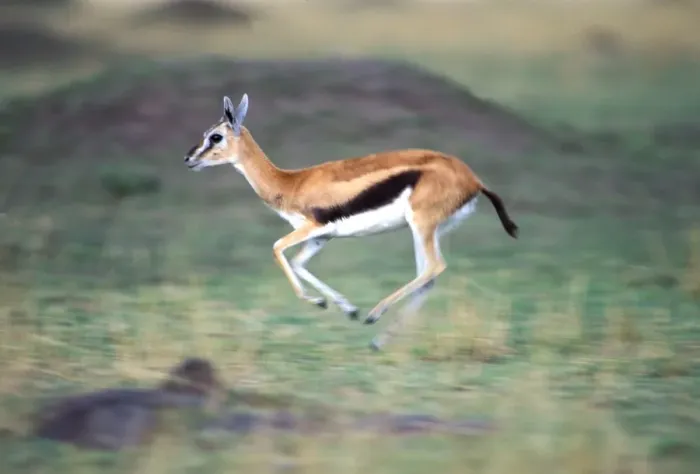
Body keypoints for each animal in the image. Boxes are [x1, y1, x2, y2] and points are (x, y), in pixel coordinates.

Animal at [184, 94, 519, 350]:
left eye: (215, 136)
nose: (188, 159)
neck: (291, 183)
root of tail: (474, 179)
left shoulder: (312, 228)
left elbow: (278, 249)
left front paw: (325, 303)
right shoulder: (322, 236)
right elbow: (299, 263)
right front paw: (343, 308)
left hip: (421, 225)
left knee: (434, 268)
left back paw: (375, 315)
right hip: (427, 231)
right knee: (427, 278)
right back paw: (378, 340)